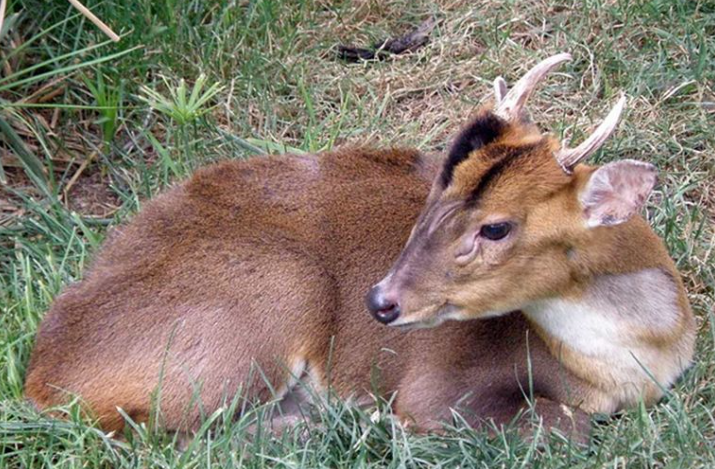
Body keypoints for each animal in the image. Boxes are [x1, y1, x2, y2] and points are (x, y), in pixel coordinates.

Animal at [26, 53, 692, 440]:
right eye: (437, 189)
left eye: (497, 227)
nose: (381, 301)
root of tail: (43, 379)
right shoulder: (439, 386)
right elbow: (563, 424)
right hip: (274, 297)